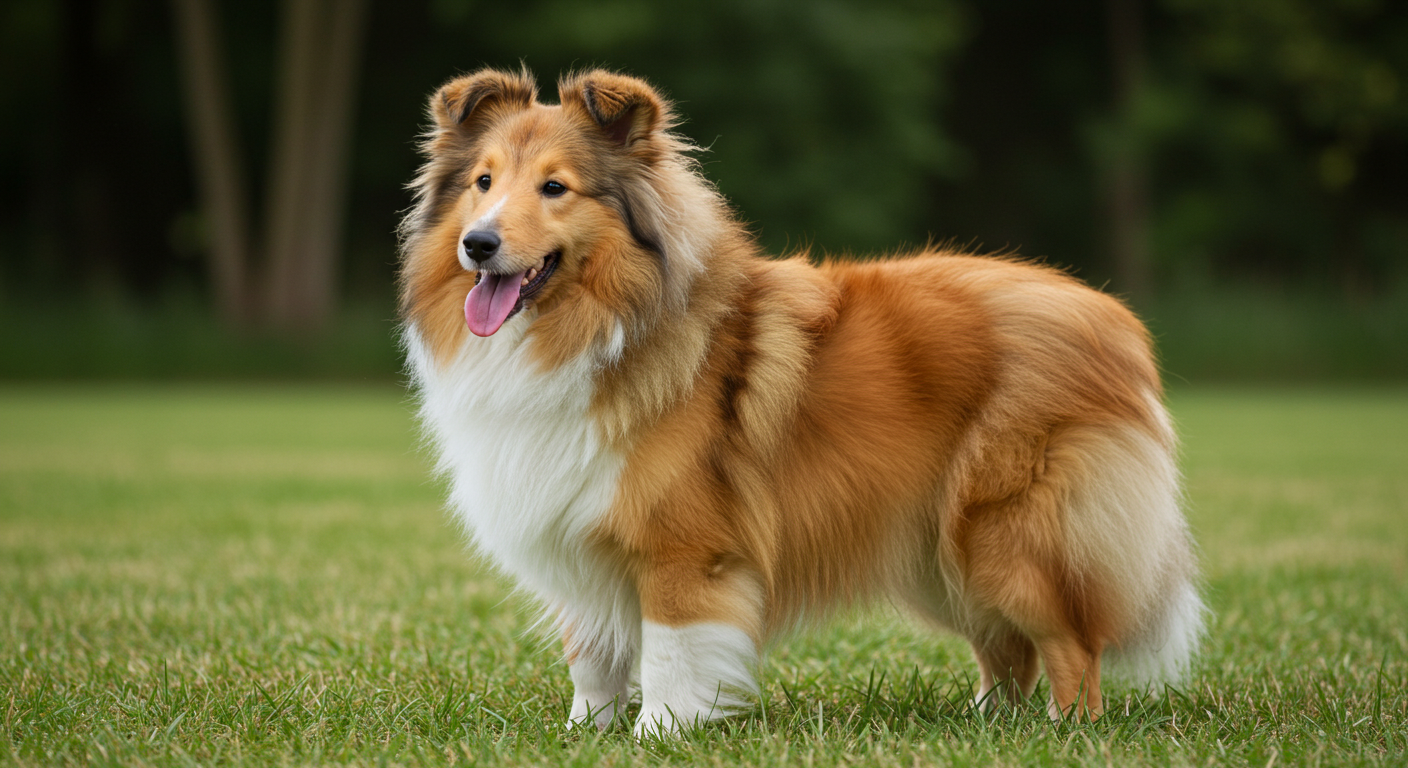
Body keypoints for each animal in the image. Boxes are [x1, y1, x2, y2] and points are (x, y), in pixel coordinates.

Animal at [397, 69, 1199, 732]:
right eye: (482, 182)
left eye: (555, 188)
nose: (478, 244)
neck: (603, 327)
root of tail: (1114, 320)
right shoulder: (576, 529)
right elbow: (592, 655)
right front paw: (585, 733)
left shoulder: (685, 552)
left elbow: (669, 654)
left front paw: (660, 734)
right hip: (939, 550)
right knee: (1010, 651)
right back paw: (987, 723)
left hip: (1008, 535)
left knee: (1072, 645)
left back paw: (1064, 731)